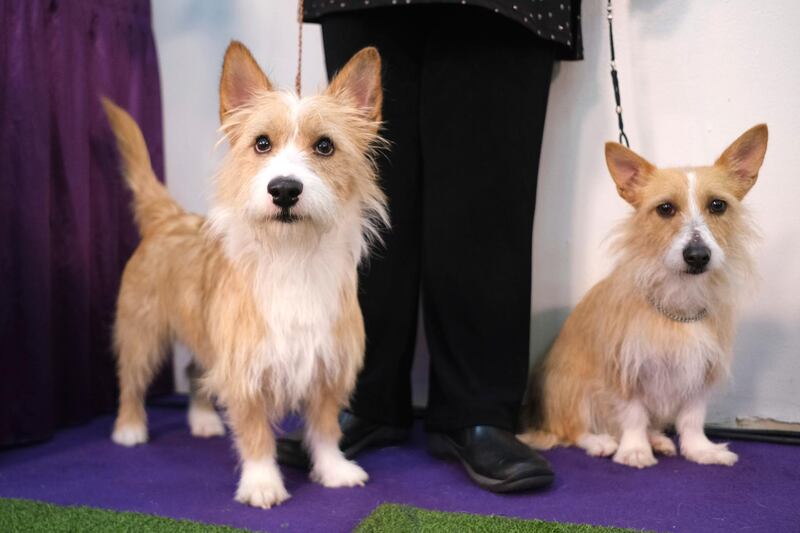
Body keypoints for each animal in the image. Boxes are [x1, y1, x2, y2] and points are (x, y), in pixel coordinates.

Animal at [103, 41, 388, 508]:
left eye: (325, 146)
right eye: (262, 143)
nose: (284, 189)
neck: (292, 257)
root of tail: (169, 218)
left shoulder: (327, 367)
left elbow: (326, 428)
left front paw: (333, 470)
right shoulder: (244, 369)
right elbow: (255, 435)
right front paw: (261, 483)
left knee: (194, 373)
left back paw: (203, 419)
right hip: (141, 331)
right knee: (131, 379)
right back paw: (129, 427)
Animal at [520, 124, 764, 466]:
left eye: (718, 205)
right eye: (665, 208)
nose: (697, 256)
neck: (678, 301)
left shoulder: (700, 370)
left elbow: (692, 419)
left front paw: (699, 449)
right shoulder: (626, 368)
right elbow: (633, 415)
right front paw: (635, 450)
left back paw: (657, 439)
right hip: (570, 388)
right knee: (570, 429)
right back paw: (601, 441)